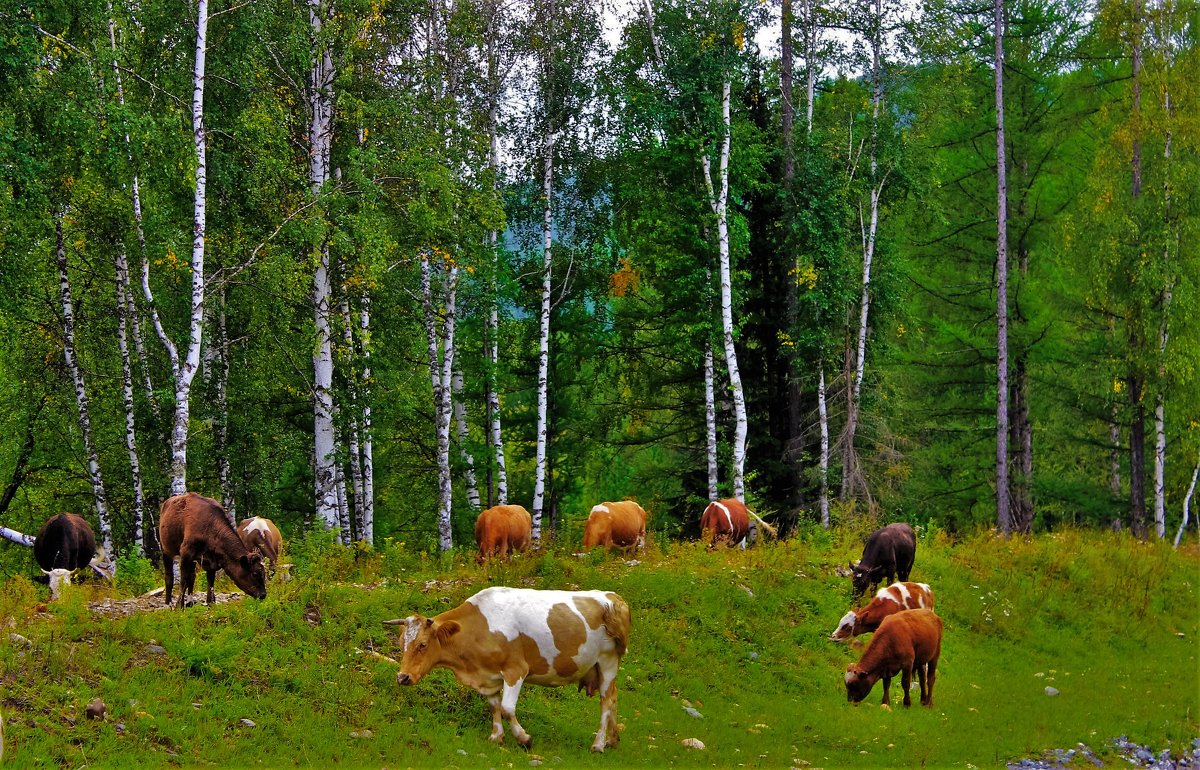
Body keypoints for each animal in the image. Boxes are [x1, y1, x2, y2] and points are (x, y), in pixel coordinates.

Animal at [384, 585, 633, 748]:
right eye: (401, 643)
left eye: (423, 644)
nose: (402, 677)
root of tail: (614, 598)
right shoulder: (488, 677)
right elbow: (494, 707)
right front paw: (497, 737)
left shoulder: (516, 670)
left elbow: (506, 708)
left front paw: (524, 738)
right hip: (600, 667)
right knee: (614, 697)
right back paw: (612, 740)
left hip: (608, 661)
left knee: (606, 701)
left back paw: (598, 744)